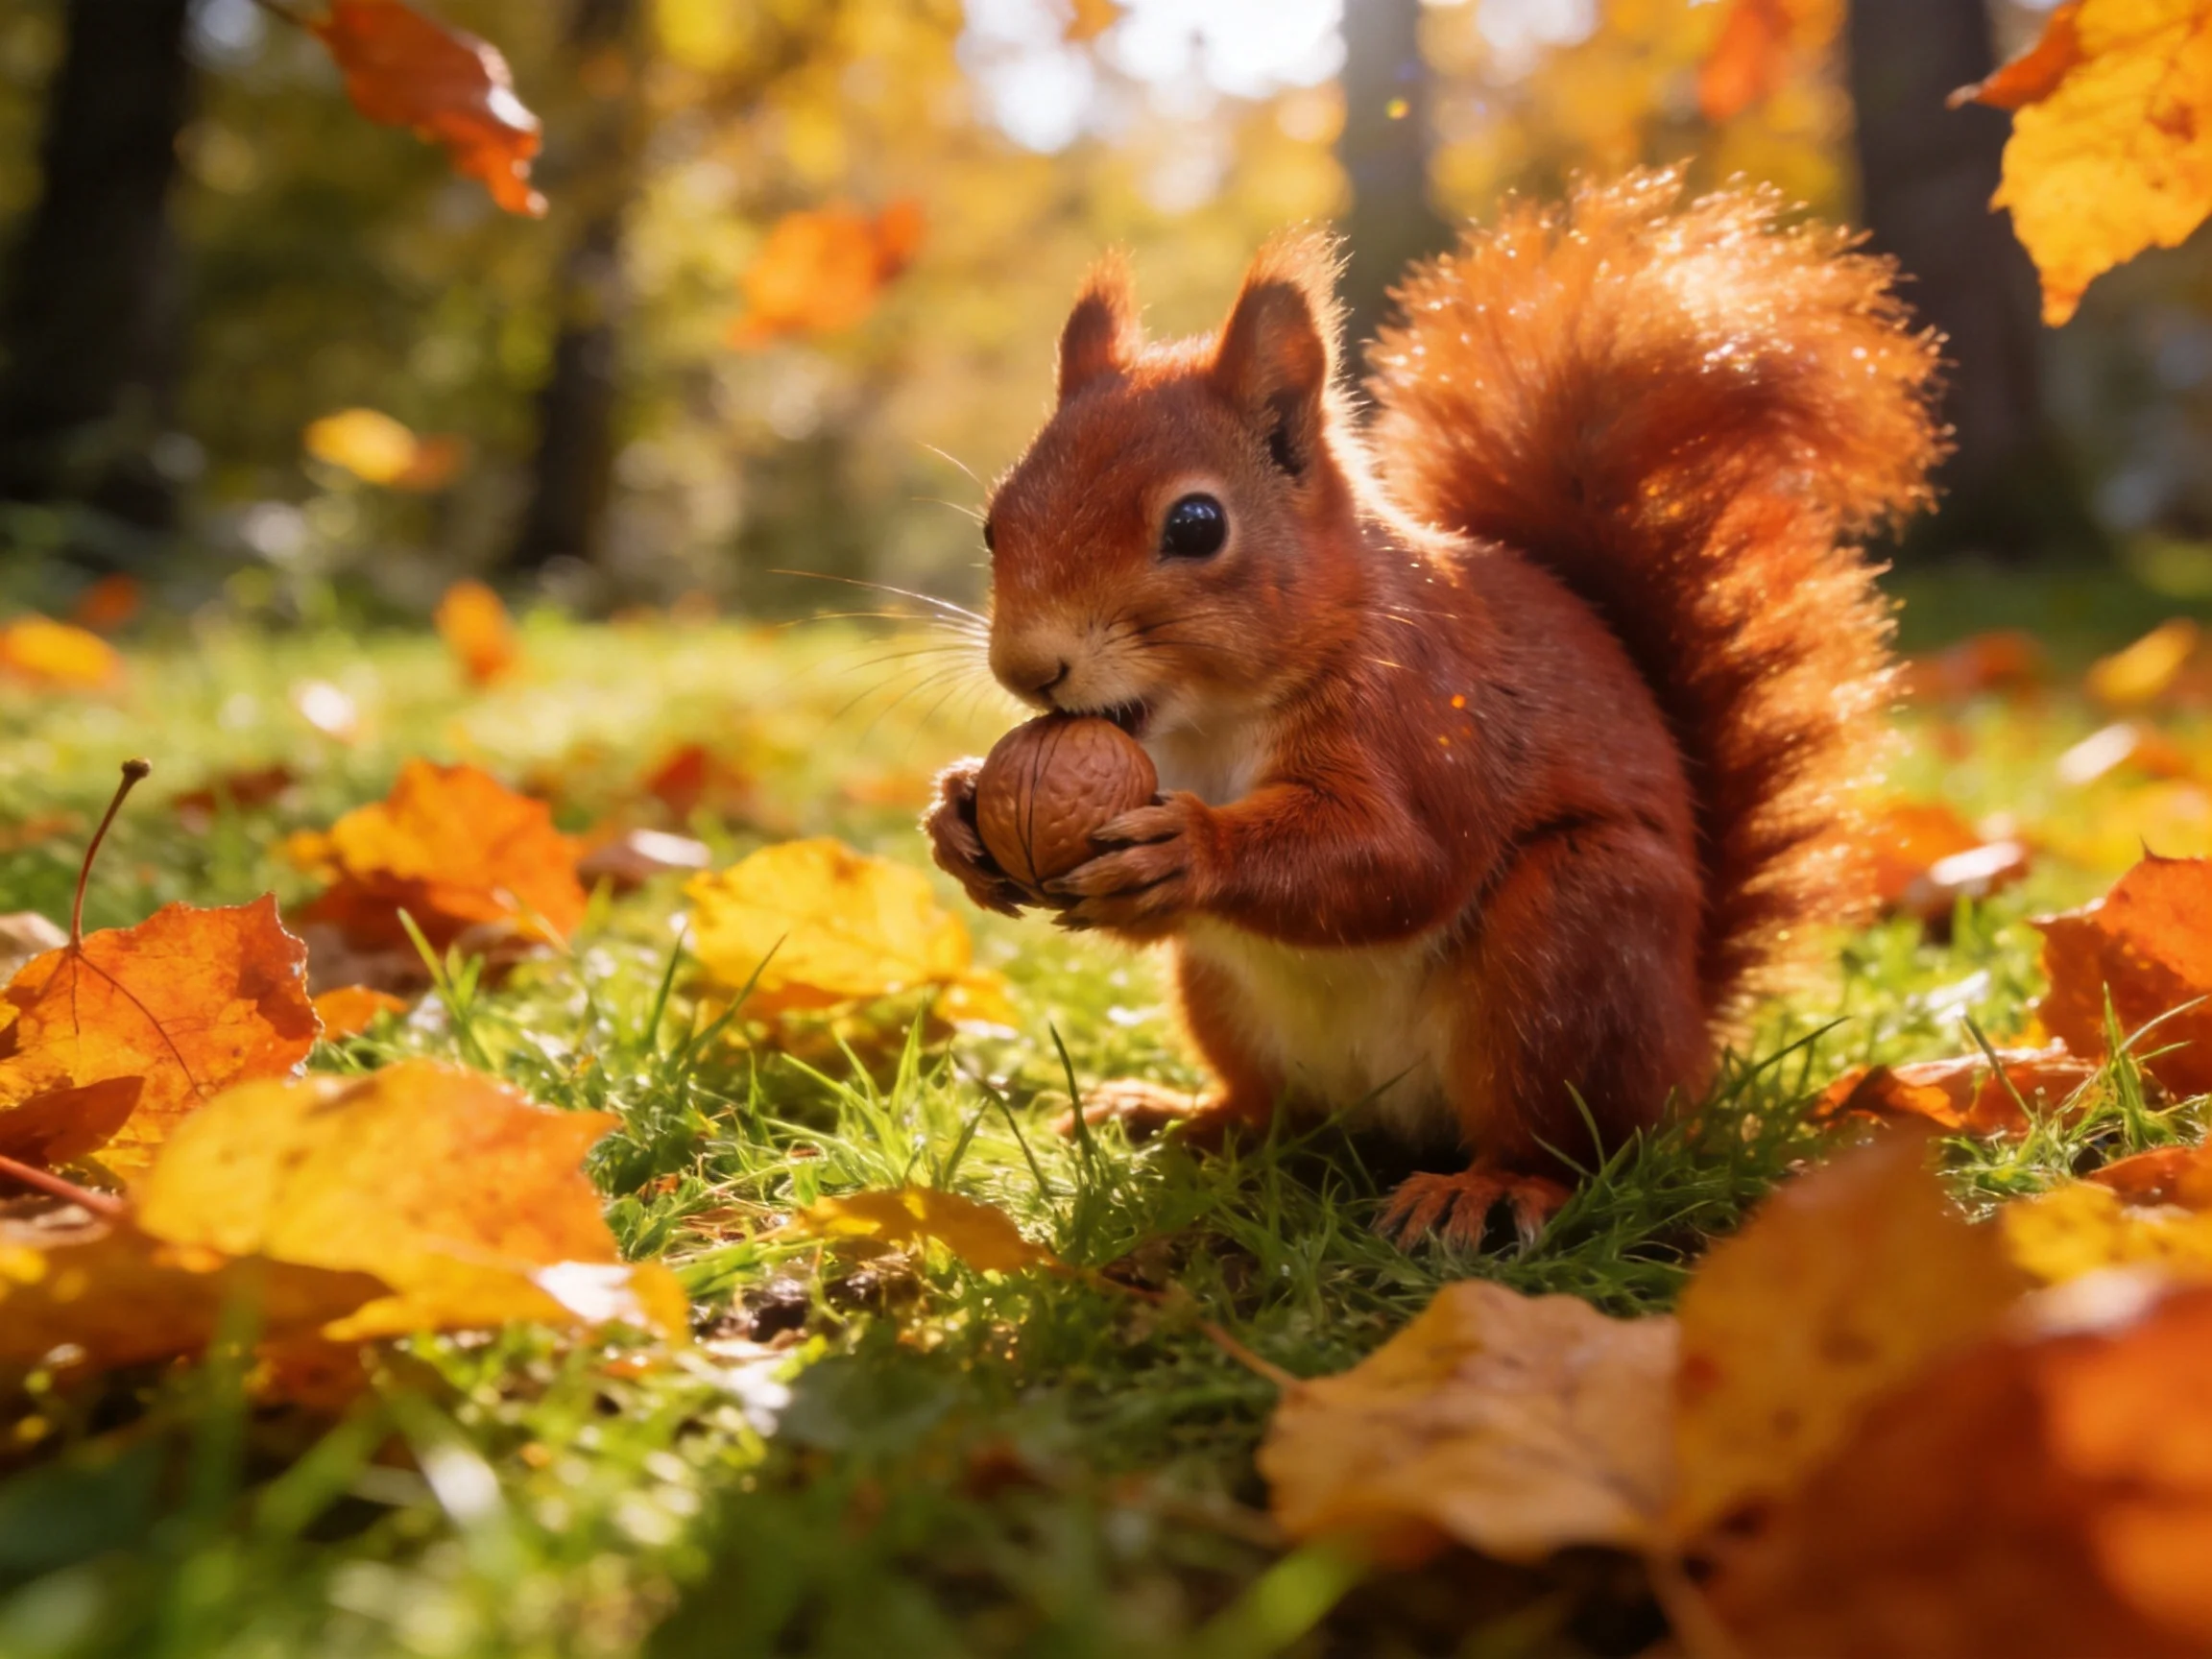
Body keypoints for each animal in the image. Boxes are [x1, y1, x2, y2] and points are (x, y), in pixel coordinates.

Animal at [926, 170, 1944, 1247]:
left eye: (1197, 525)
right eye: (996, 523)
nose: (1028, 668)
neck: (1204, 723)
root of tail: (1689, 1045)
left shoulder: (1421, 712)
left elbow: (1397, 858)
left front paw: (1192, 849)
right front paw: (959, 815)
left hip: (1571, 946)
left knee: (1570, 1144)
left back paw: (1490, 1188)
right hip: (1225, 1000)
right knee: (1280, 1116)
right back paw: (1174, 1116)